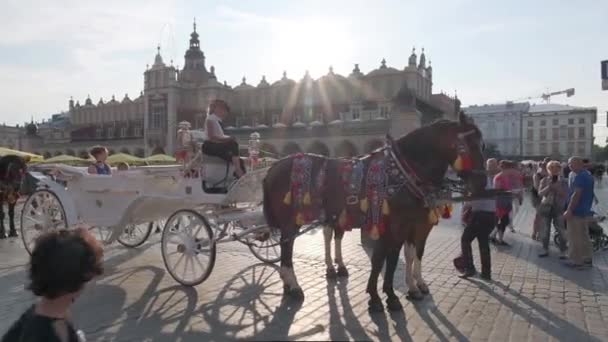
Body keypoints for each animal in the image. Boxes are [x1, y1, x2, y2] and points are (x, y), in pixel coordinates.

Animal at [262, 112, 484, 312]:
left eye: (482, 146)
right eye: (470, 145)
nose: (480, 184)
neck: (402, 174)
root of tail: (273, 166)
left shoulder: (406, 227)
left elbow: (396, 258)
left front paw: (397, 292)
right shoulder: (394, 225)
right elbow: (385, 259)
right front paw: (383, 297)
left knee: (320, 239)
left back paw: (309, 278)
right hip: (291, 221)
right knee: (288, 248)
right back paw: (295, 285)